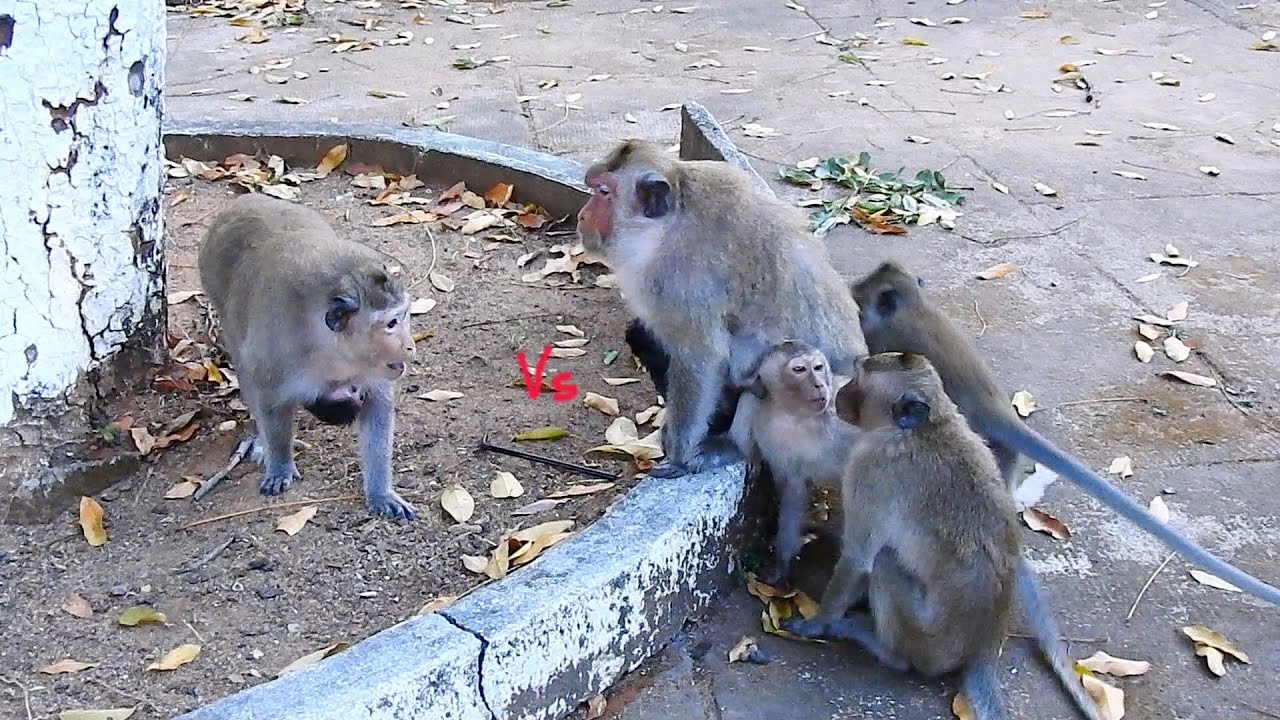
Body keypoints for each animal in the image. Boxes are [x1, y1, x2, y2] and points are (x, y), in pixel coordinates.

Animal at [199, 193, 417, 520]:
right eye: (391, 324)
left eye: (404, 316)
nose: (410, 346)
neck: (328, 349)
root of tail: (243, 201)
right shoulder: (276, 354)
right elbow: (270, 403)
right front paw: (279, 462)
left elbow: (378, 408)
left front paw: (380, 492)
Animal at [577, 139, 867, 479]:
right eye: (594, 188)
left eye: (603, 192)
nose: (582, 216)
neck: (666, 224)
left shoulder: (683, 280)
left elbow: (701, 355)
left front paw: (680, 452)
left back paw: (730, 446)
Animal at [727, 340, 858, 586]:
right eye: (799, 370)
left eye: (818, 367)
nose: (819, 385)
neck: (796, 416)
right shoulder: (768, 432)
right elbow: (792, 491)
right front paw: (781, 565)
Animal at [783, 352, 1103, 720]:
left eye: (859, 382)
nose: (838, 395)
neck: (926, 428)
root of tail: (985, 645)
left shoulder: (869, 470)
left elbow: (858, 558)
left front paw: (817, 623)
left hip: (927, 641)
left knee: (885, 564)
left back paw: (883, 649)